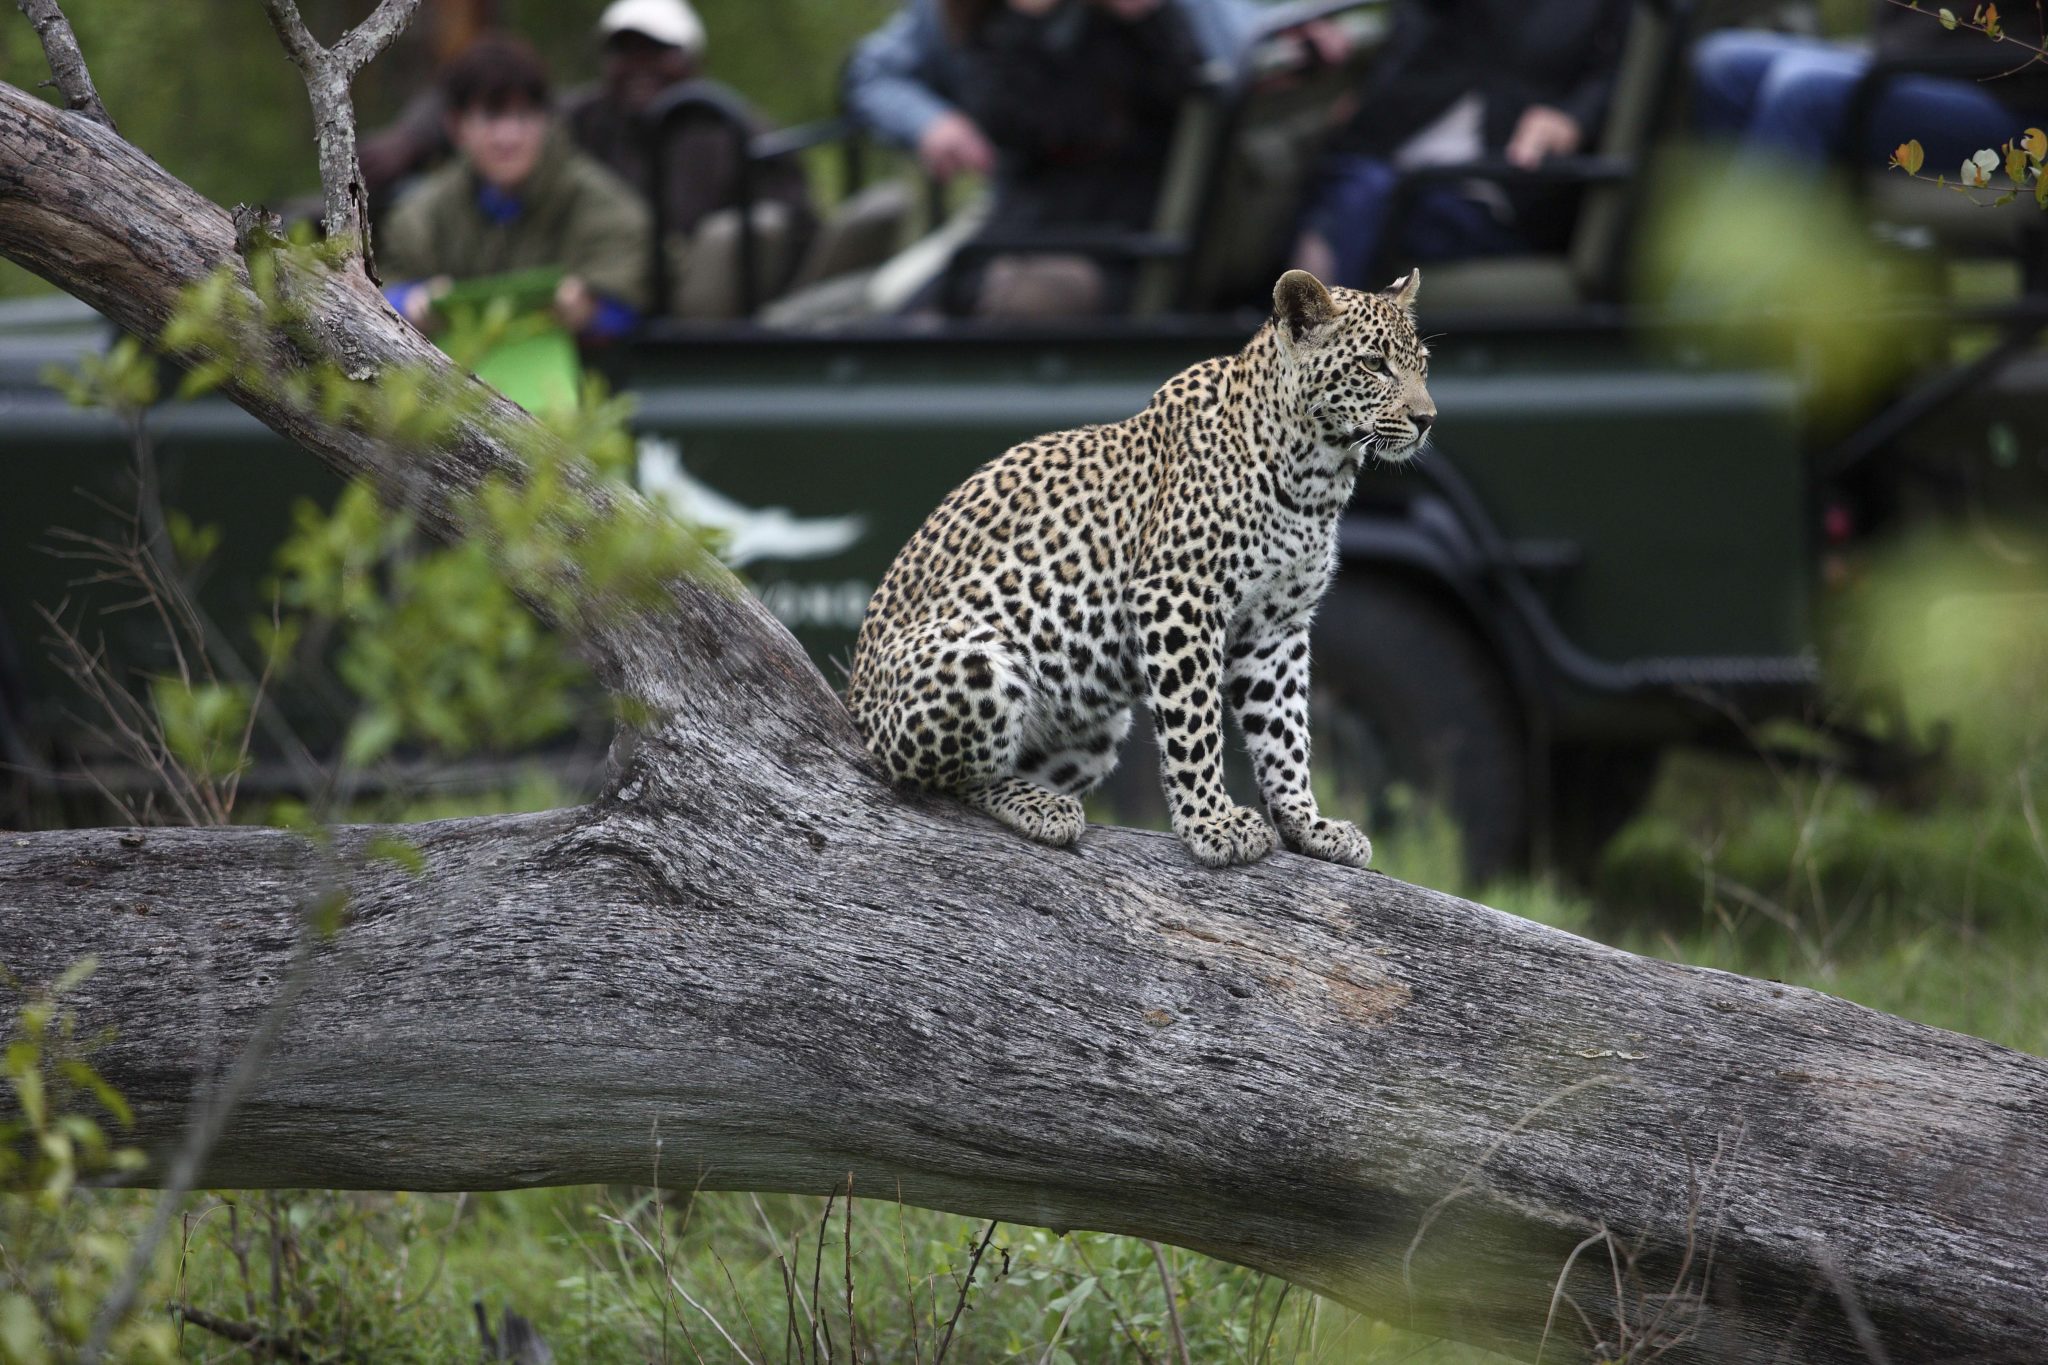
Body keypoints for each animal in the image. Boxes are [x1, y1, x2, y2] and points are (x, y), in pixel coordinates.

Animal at [844, 268, 1435, 868]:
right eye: (1373, 365)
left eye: (1422, 365)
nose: (1427, 419)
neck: (1319, 473)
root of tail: (855, 711)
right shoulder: (1178, 597)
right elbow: (1194, 722)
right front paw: (1212, 823)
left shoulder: (1277, 626)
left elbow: (1285, 730)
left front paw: (1308, 825)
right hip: (978, 663)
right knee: (945, 780)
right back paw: (1042, 808)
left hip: (1097, 727)